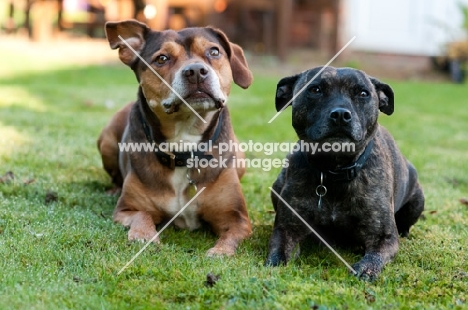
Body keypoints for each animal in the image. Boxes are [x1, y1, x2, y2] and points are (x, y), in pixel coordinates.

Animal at [97, 20, 254, 256]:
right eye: (162, 58)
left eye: (214, 52)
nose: (196, 71)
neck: (184, 141)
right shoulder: (126, 210)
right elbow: (142, 215)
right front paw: (144, 236)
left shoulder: (237, 217)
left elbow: (231, 236)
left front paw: (219, 252)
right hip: (106, 141)